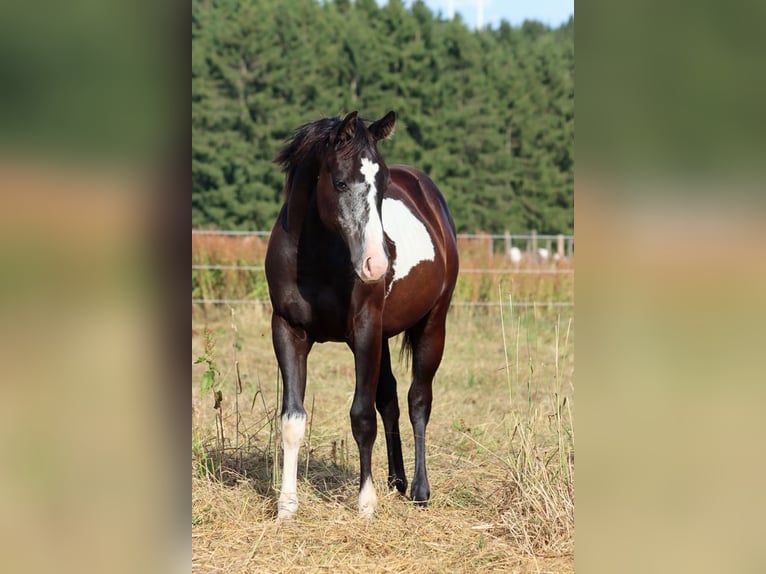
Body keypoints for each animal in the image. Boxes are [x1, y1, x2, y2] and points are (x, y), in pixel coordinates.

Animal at [265, 111, 459, 519]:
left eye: (382, 184)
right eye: (340, 181)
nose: (377, 264)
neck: (317, 261)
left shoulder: (365, 330)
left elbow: (362, 416)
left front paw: (366, 503)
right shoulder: (288, 331)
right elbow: (292, 418)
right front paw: (286, 505)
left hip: (433, 325)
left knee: (418, 400)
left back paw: (419, 489)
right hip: (384, 337)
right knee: (390, 399)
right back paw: (397, 480)